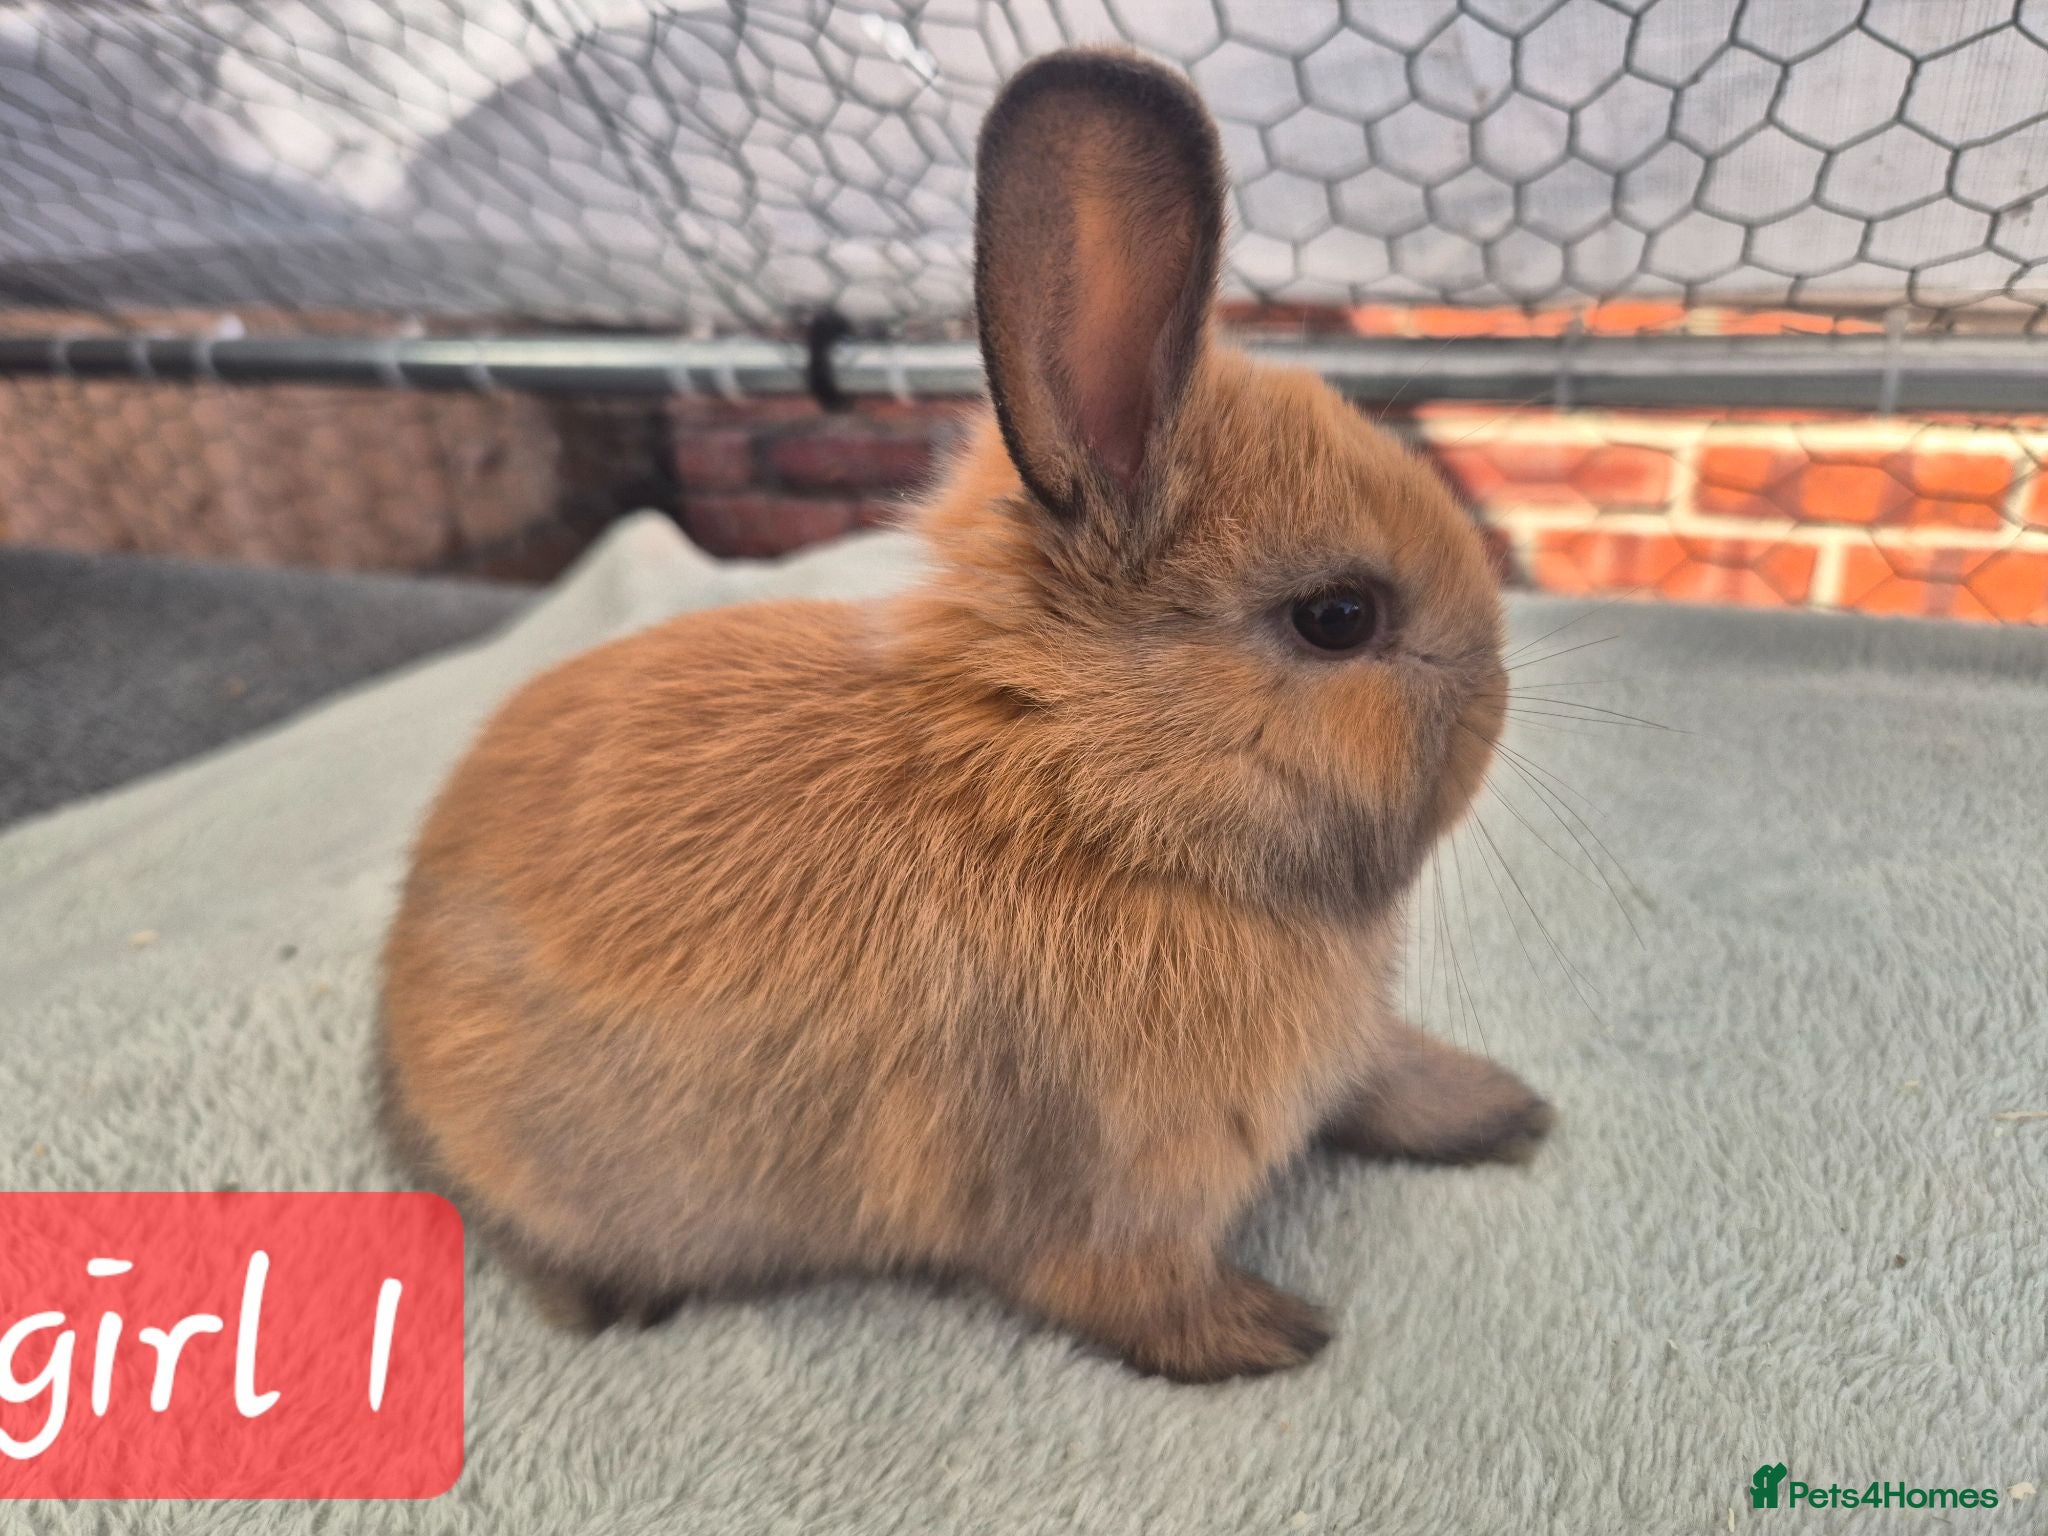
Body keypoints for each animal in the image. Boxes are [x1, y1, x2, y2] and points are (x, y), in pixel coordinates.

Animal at [378, 46, 1551, 1384]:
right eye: (1337, 617)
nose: (1496, 693)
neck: (1080, 808)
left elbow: (1382, 1085)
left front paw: (1500, 1112)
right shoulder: (1109, 1200)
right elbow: (1128, 1288)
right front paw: (1271, 1336)